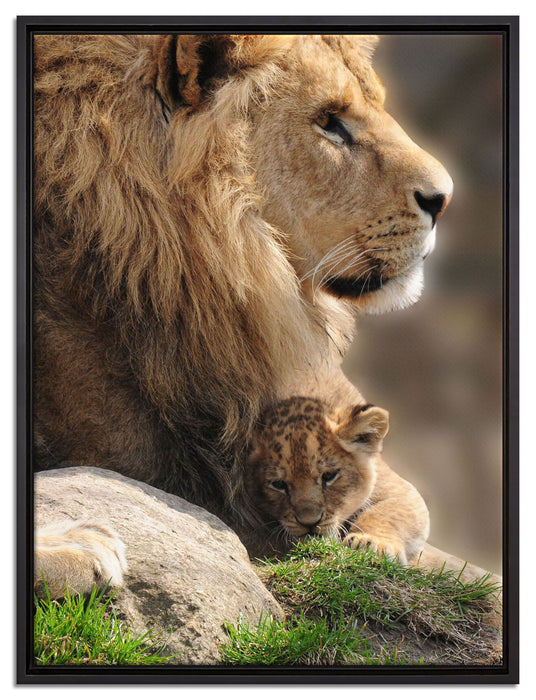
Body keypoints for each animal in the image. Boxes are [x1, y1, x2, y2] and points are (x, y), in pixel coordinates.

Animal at [246, 396, 429, 564]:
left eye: (329, 476)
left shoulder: (400, 489)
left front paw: (370, 543)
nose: (310, 523)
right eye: (278, 484)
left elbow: (386, 512)